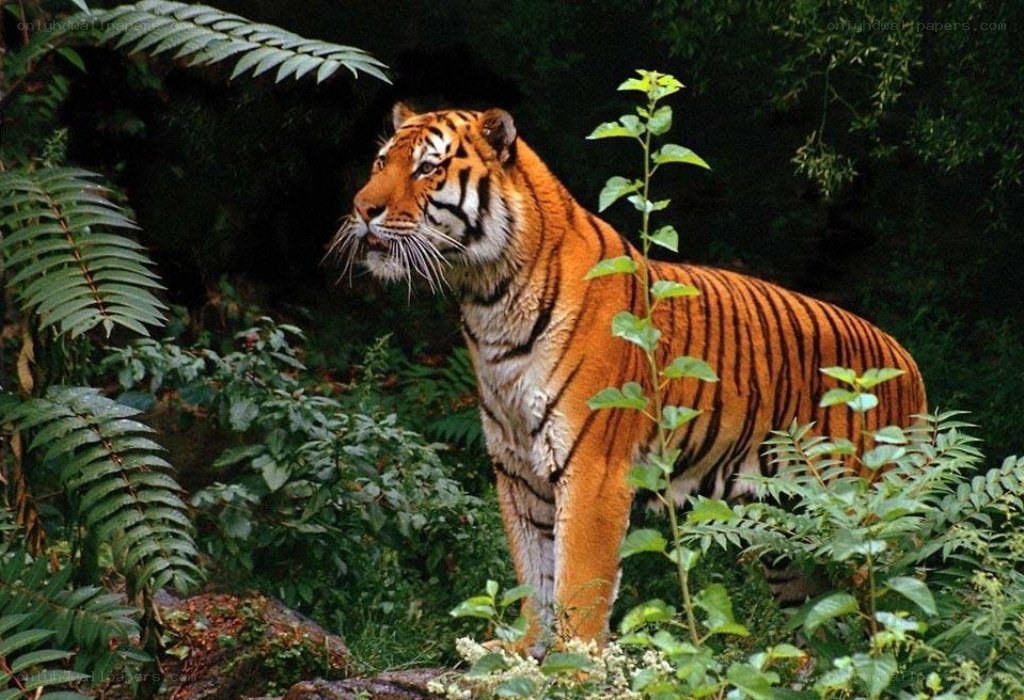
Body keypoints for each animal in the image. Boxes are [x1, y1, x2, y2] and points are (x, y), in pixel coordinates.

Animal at [327, 103, 927, 654]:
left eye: (427, 168)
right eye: (381, 162)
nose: (361, 208)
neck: (489, 298)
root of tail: (908, 361)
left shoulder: (593, 468)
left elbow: (578, 584)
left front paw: (575, 667)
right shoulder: (517, 472)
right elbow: (533, 575)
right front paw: (524, 655)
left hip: (866, 521)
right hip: (788, 535)